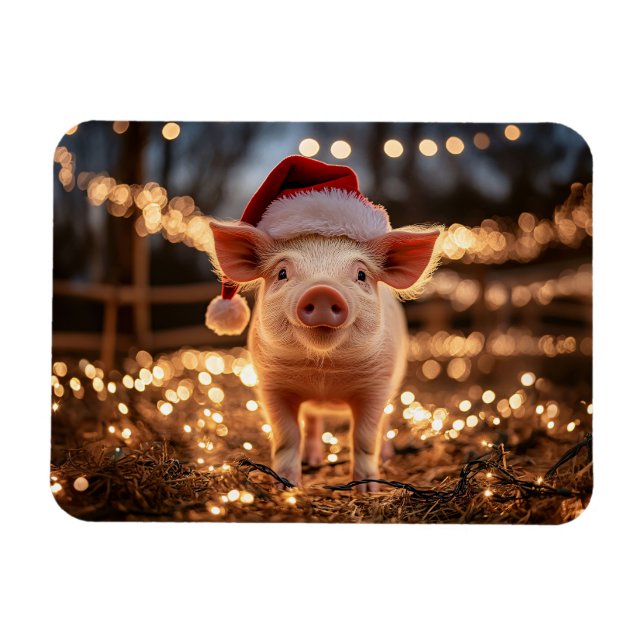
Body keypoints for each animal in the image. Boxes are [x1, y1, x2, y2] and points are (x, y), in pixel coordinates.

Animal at [209, 220, 441, 492]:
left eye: (361, 275)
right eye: (282, 273)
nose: (321, 291)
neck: (323, 374)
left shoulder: (377, 385)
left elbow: (364, 436)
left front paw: (367, 491)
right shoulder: (270, 386)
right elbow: (287, 435)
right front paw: (285, 487)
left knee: (385, 422)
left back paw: (386, 456)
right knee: (311, 422)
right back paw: (312, 460)